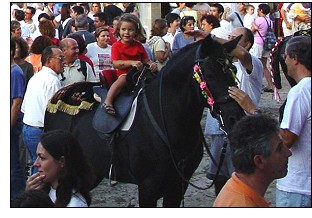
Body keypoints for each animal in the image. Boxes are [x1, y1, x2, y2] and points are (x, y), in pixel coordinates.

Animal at [45, 35, 245, 207]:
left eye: (234, 70)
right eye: (209, 74)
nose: (235, 117)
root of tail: (62, 93)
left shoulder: (178, 186)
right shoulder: (148, 188)